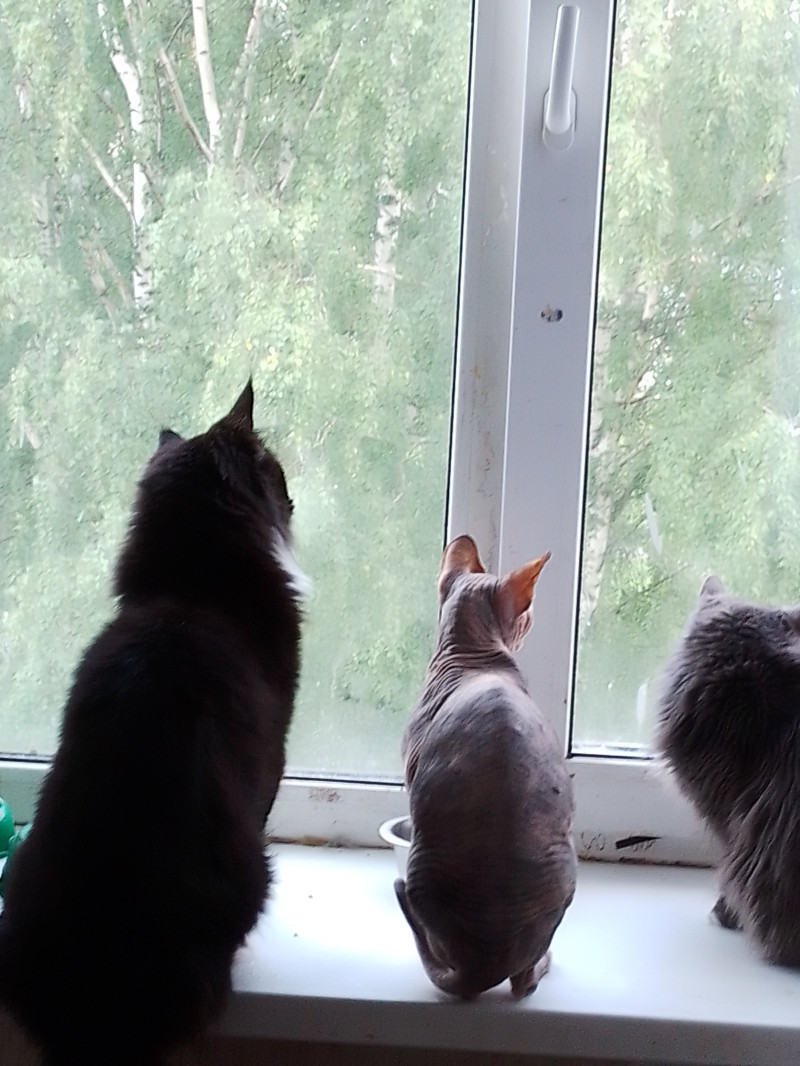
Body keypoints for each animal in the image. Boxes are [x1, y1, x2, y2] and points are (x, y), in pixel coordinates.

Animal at [395, 535, 576, 999]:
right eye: (527, 613)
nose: (530, 619)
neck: (470, 654)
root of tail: (486, 962)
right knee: (524, 982)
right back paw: (543, 963)